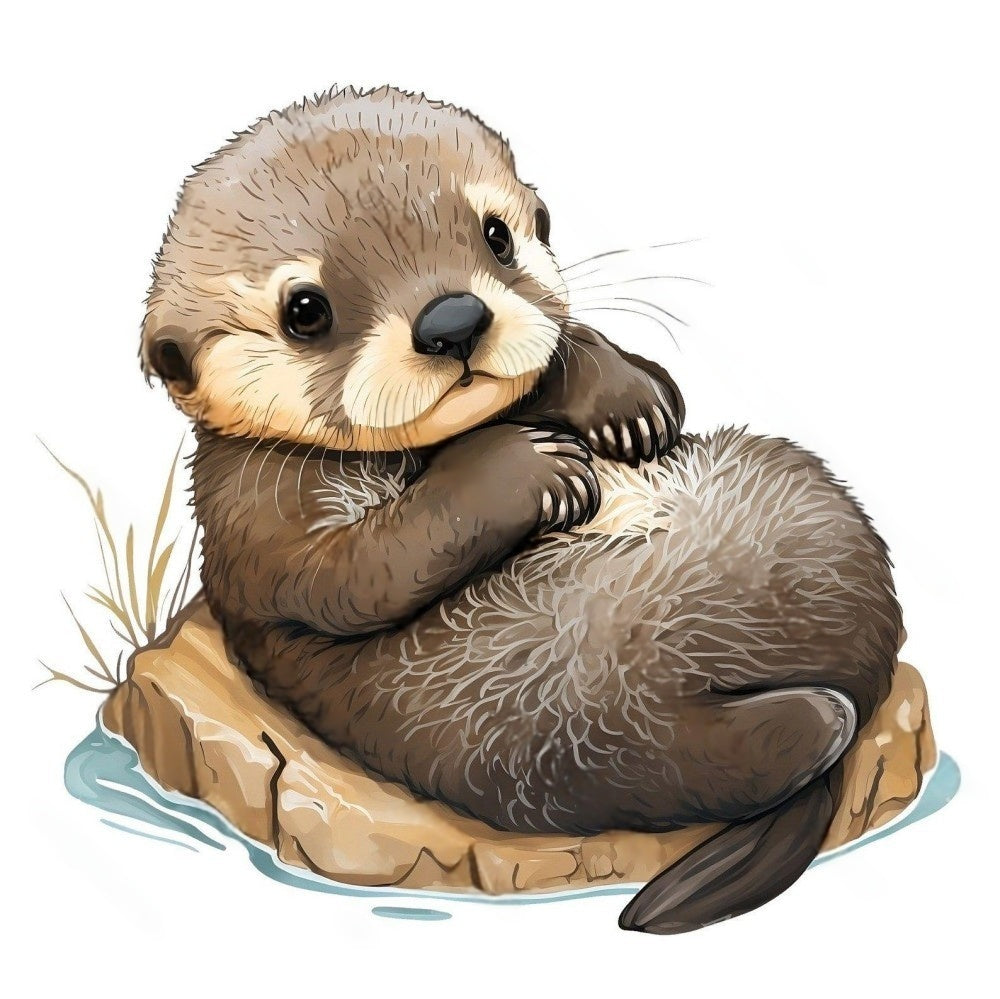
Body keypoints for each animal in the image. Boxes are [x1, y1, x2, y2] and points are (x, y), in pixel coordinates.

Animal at [140, 86, 902, 934]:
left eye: (496, 235)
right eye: (306, 309)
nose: (452, 320)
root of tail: (859, 660)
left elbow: (582, 357)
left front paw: (626, 398)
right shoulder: (256, 512)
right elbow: (362, 569)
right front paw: (523, 465)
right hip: (579, 723)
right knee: (735, 751)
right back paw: (818, 723)